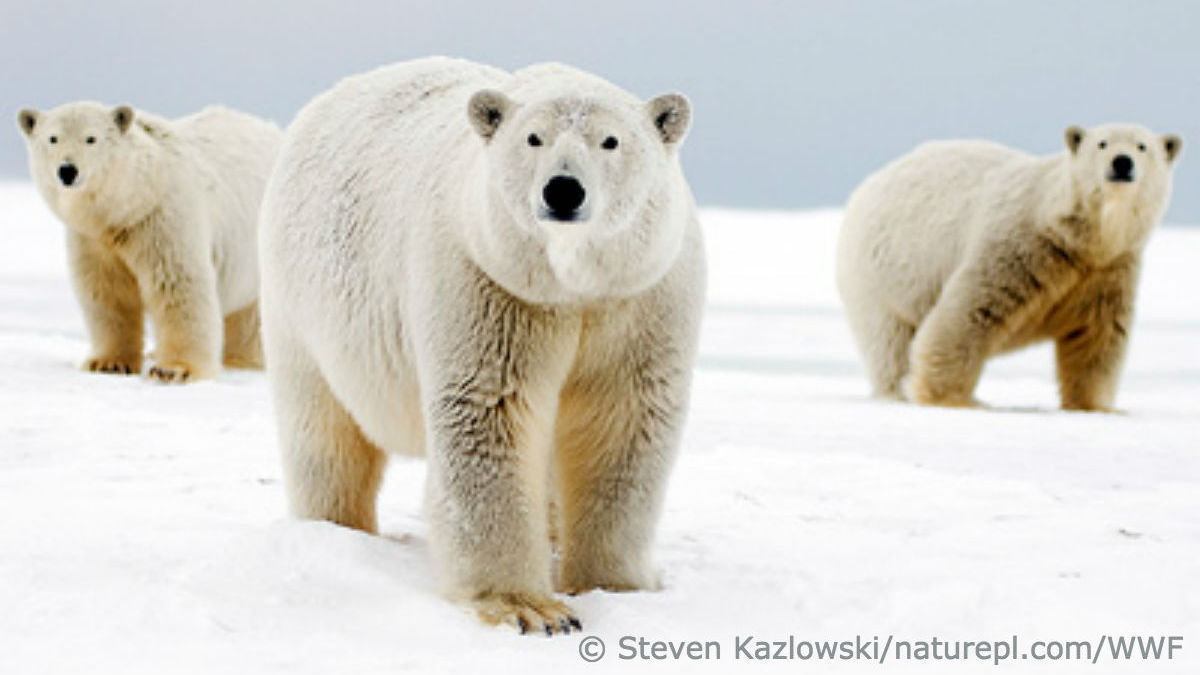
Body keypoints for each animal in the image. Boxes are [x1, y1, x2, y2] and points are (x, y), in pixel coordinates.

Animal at [17, 101, 283, 382]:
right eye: (52, 138)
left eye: (91, 138)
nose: (67, 170)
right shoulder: (93, 239)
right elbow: (107, 292)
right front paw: (109, 362)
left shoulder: (161, 220)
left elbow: (178, 284)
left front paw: (175, 369)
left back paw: (240, 358)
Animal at [258, 57, 705, 634]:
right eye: (534, 138)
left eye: (610, 140)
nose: (563, 190)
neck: (570, 286)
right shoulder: (489, 281)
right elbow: (491, 412)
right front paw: (531, 608)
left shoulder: (641, 296)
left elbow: (623, 421)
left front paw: (615, 586)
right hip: (302, 306)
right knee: (324, 432)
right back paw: (337, 530)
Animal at [836, 123, 1182, 410]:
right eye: (1102, 143)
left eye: (1142, 146)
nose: (1122, 162)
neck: (1076, 236)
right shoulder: (1017, 246)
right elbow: (968, 314)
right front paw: (950, 399)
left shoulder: (1107, 271)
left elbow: (1097, 336)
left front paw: (1097, 406)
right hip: (880, 274)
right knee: (889, 341)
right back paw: (898, 391)